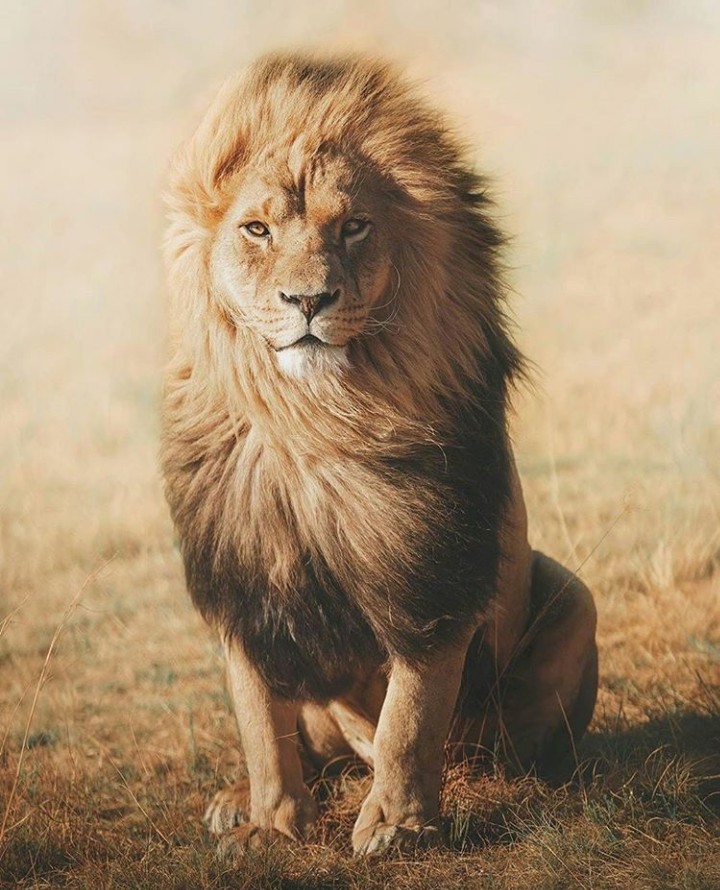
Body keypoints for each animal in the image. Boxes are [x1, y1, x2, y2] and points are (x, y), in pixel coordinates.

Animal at [161, 53, 598, 856]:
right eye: (257, 229)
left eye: (355, 227)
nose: (309, 301)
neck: (315, 418)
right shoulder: (241, 572)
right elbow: (260, 722)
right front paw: (270, 823)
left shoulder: (433, 572)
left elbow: (410, 717)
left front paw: (396, 824)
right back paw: (236, 800)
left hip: (572, 596)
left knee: (484, 744)